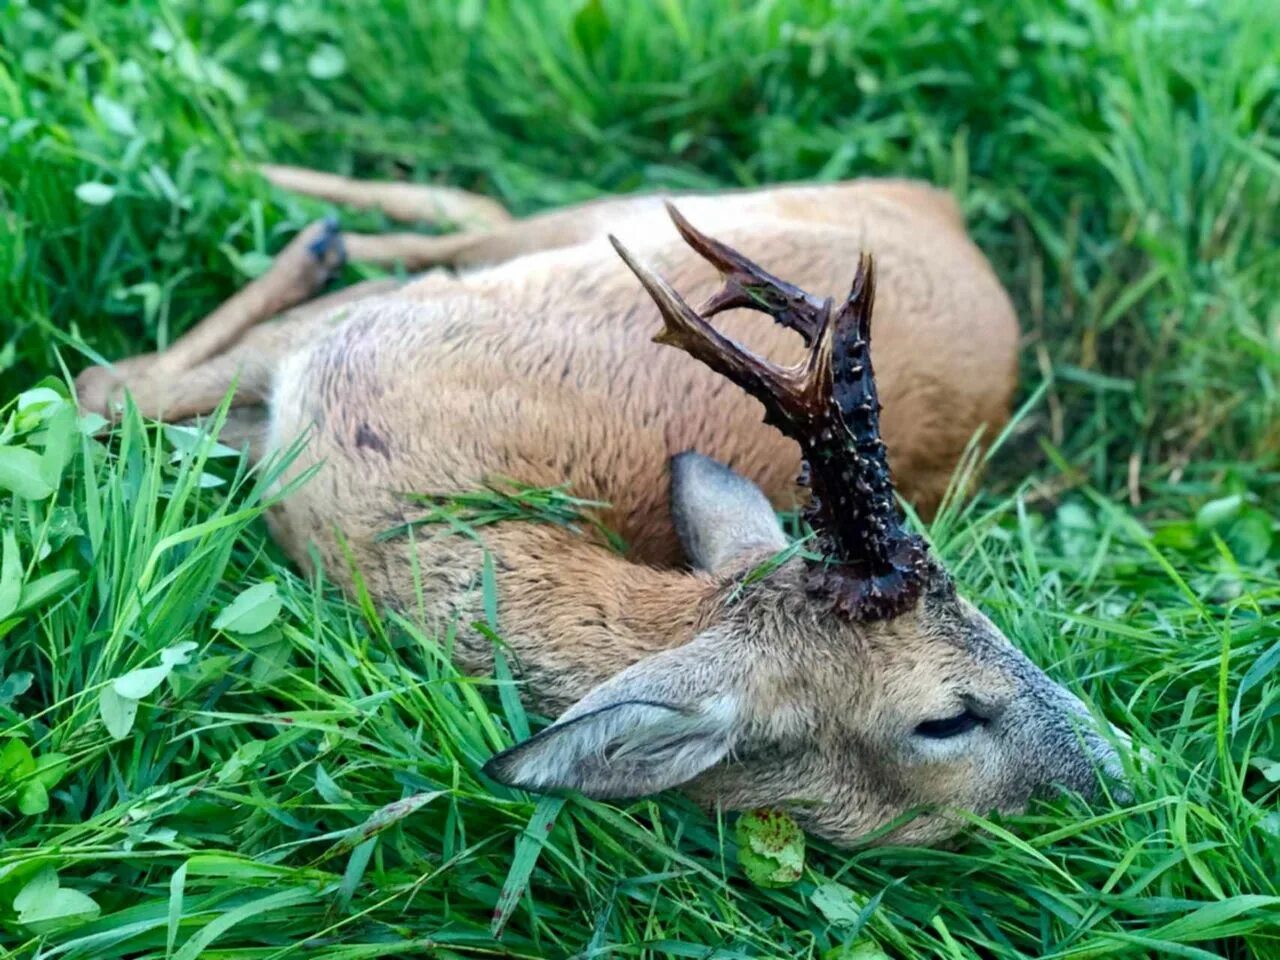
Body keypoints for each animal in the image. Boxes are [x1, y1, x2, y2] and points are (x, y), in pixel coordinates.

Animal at [74, 167, 1126, 849]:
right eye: (946, 718)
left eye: (993, 620)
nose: (1119, 768)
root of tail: (946, 213)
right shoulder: (342, 340)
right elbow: (105, 387)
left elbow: (112, 390)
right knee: (470, 221)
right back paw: (295, 214)